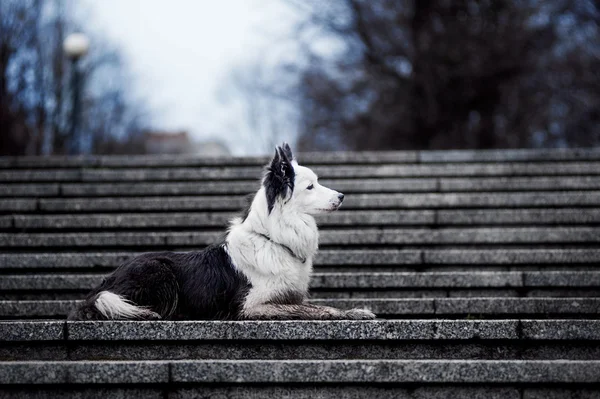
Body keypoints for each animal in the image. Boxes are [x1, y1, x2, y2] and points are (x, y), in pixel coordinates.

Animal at [69, 144, 376, 322]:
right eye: (310, 186)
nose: (342, 196)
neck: (274, 240)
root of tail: (104, 284)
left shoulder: (289, 296)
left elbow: (316, 305)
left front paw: (355, 310)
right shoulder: (250, 305)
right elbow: (313, 310)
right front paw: (350, 314)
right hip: (159, 271)